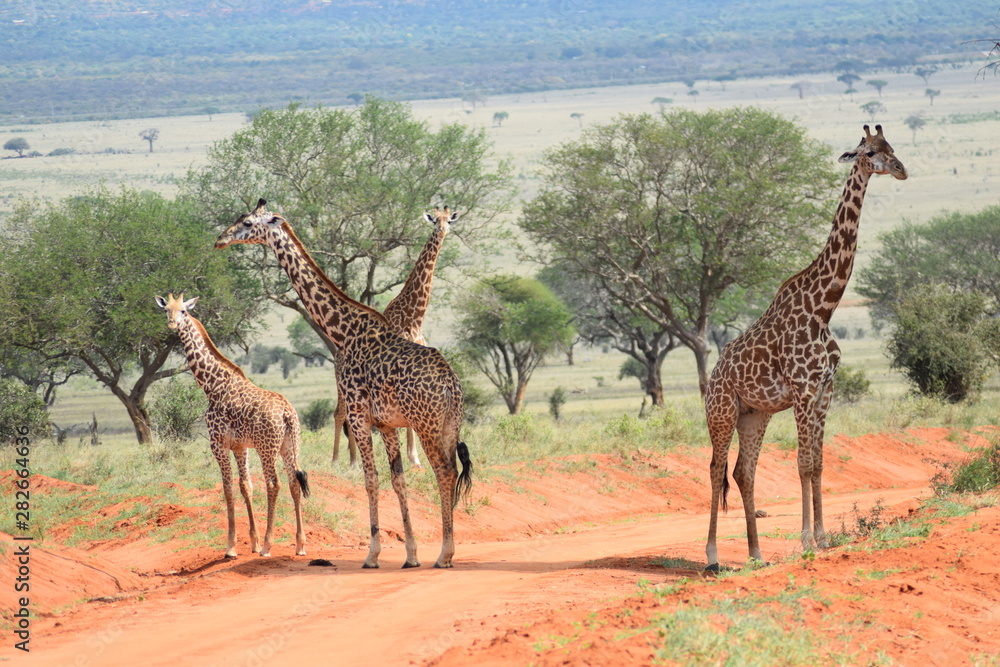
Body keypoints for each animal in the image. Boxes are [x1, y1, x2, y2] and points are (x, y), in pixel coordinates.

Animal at [155, 293, 310, 559]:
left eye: (184, 311)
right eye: (167, 310)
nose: (173, 324)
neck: (211, 385)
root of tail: (287, 413)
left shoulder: (217, 443)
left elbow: (227, 488)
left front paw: (231, 547)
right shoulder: (240, 446)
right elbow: (245, 486)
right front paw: (252, 542)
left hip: (267, 448)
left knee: (274, 483)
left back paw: (268, 546)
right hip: (290, 446)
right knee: (293, 482)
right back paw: (299, 545)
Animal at [333, 206, 461, 468]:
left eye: (449, 220)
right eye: (434, 220)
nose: (442, 230)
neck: (414, 318)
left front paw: (416, 458)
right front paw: (414, 458)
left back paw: (353, 460)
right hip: (343, 384)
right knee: (340, 414)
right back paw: (341, 461)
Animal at [703, 125, 907, 570]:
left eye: (892, 147)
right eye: (869, 152)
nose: (901, 170)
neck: (824, 306)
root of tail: (712, 376)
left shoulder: (825, 389)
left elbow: (817, 463)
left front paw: (824, 537)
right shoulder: (801, 389)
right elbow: (801, 464)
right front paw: (806, 540)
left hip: (754, 415)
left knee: (743, 472)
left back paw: (756, 553)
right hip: (721, 412)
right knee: (715, 468)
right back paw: (711, 556)